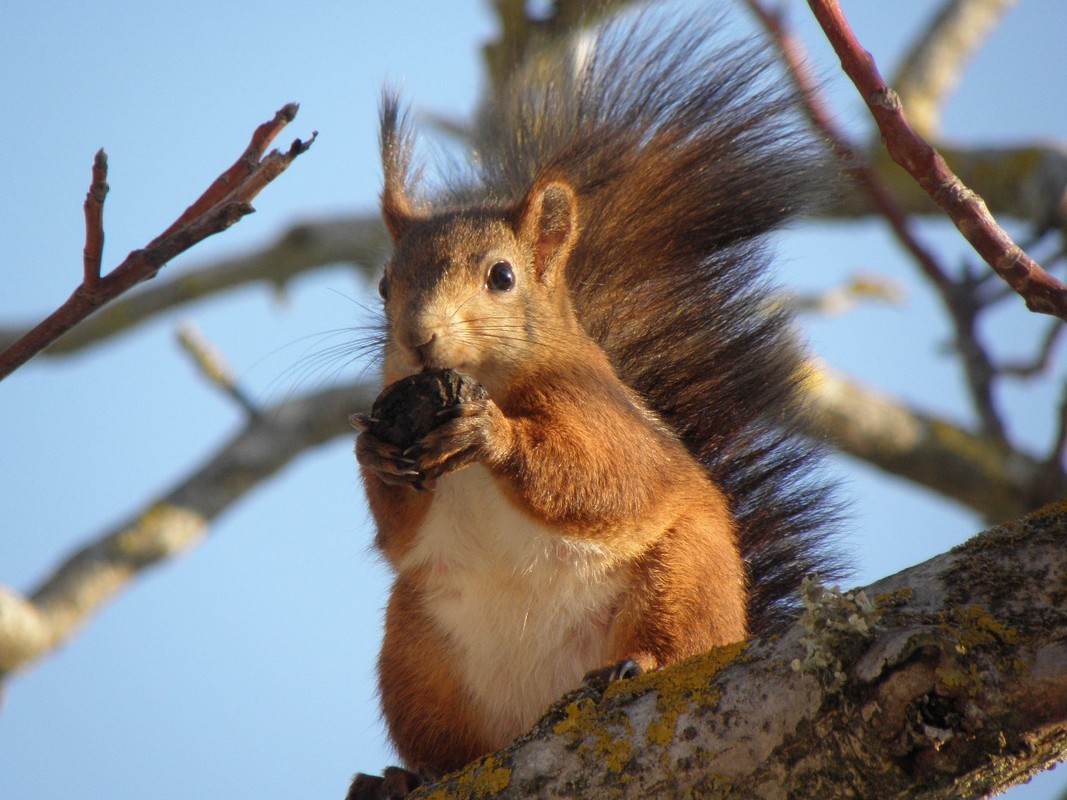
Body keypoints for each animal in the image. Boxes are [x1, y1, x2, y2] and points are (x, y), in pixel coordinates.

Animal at [349, 11, 843, 796]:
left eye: (502, 276)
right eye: (383, 283)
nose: (419, 337)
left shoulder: (597, 410)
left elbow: (597, 479)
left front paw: (493, 433)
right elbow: (398, 532)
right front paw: (372, 449)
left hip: (685, 577)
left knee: (674, 638)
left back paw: (641, 664)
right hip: (416, 651)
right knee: (450, 747)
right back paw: (406, 775)